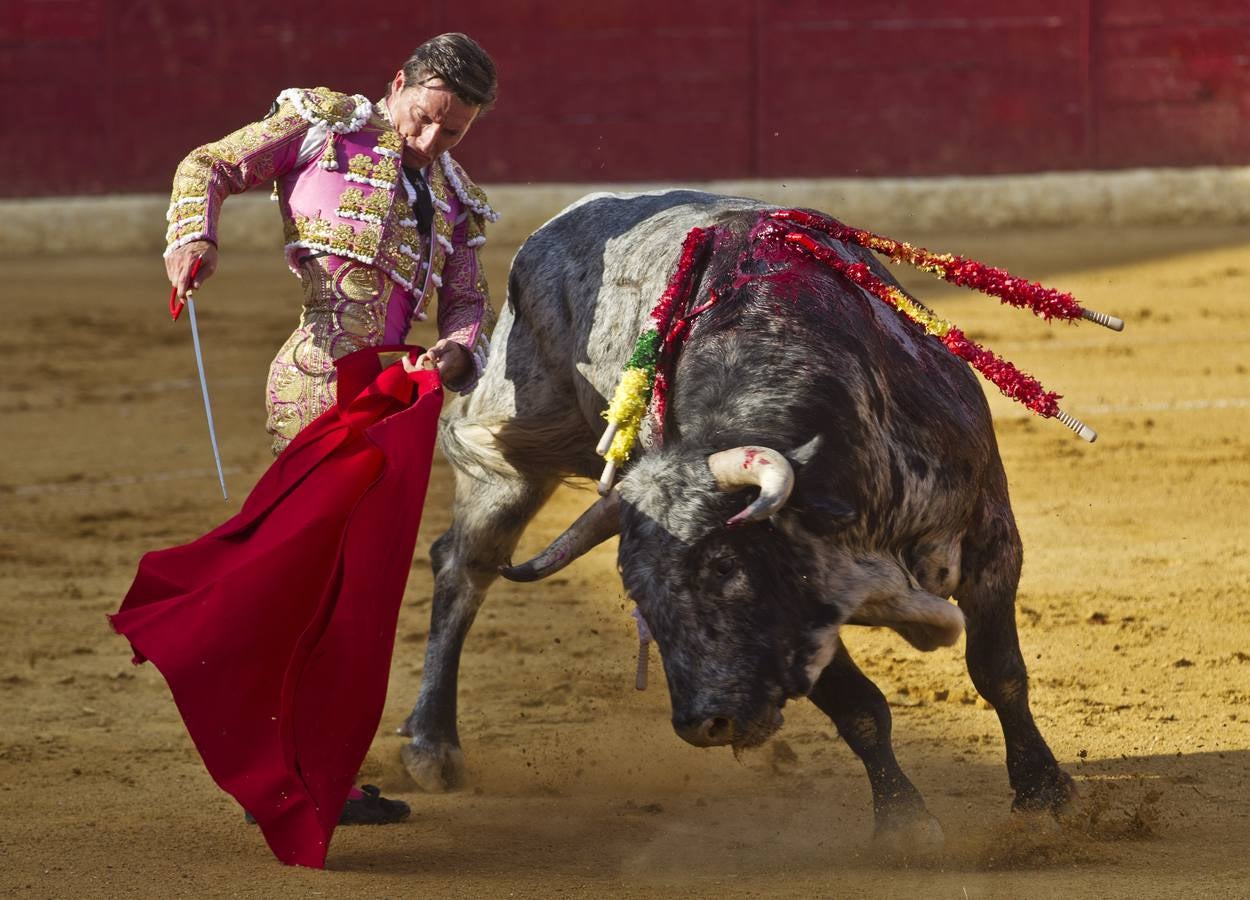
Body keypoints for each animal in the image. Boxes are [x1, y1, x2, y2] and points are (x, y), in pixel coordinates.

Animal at [397, 190, 1075, 845]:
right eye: (636, 593)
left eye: (725, 567)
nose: (706, 723)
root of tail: (548, 231)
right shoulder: (804, 612)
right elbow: (859, 708)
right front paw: (903, 821)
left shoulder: (990, 536)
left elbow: (998, 672)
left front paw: (1044, 795)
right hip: (510, 450)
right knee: (464, 565)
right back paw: (433, 744)